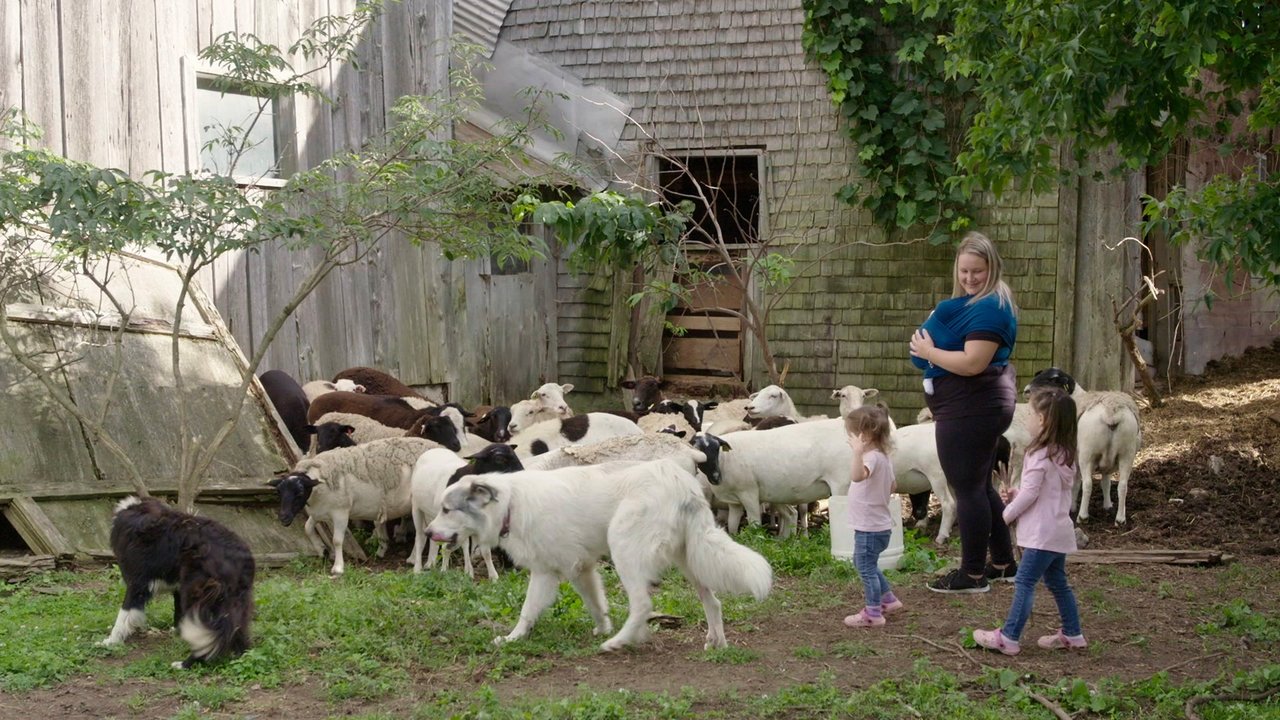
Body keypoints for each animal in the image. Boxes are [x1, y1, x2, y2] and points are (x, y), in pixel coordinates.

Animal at [427, 458, 768, 650]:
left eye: (446, 509)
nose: (428, 533)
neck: (510, 503)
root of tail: (680, 481)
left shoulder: (550, 572)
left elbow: (527, 609)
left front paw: (513, 638)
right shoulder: (580, 569)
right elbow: (595, 604)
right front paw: (601, 626)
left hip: (625, 548)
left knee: (643, 605)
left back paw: (619, 642)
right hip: (690, 559)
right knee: (712, 601)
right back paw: (716, 642)